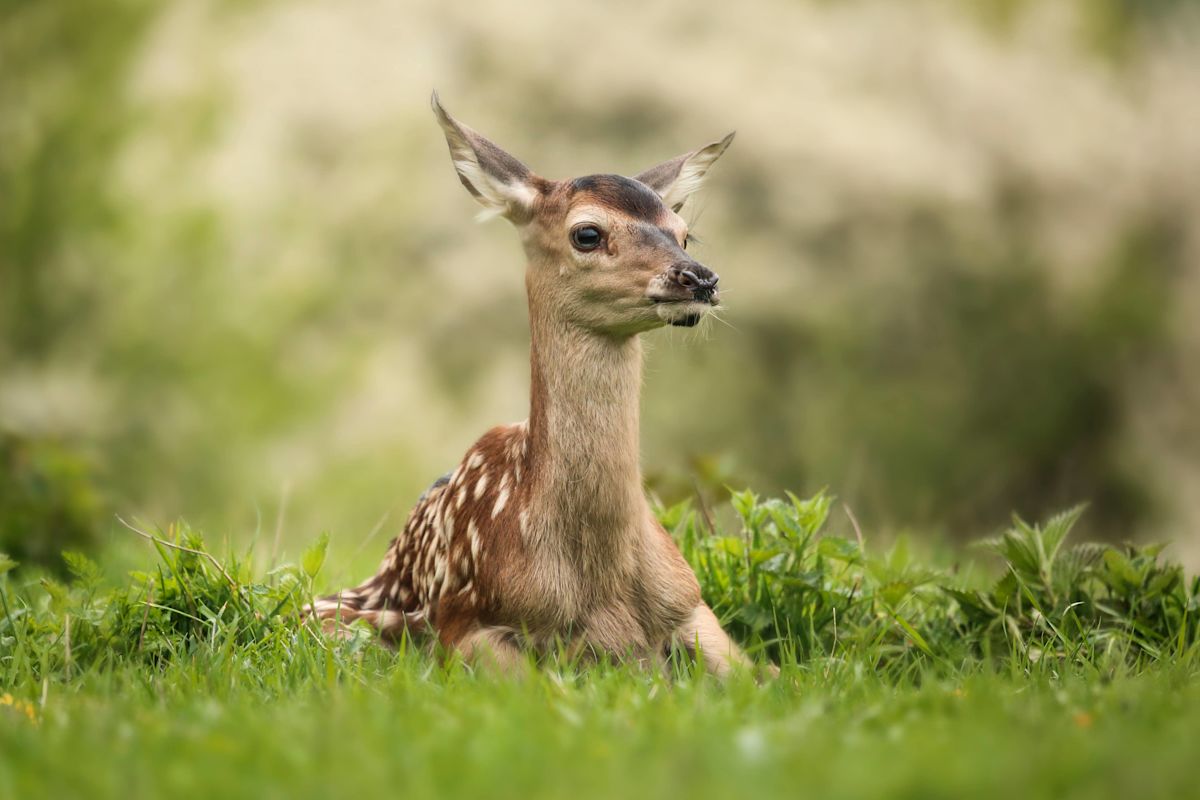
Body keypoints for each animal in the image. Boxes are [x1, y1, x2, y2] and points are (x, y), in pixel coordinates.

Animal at [307, 94, 760, 677]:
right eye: (587, 233)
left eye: (684, 233)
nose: (699, 277)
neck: (600, 585)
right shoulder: (465, 624)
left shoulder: (693, 606)